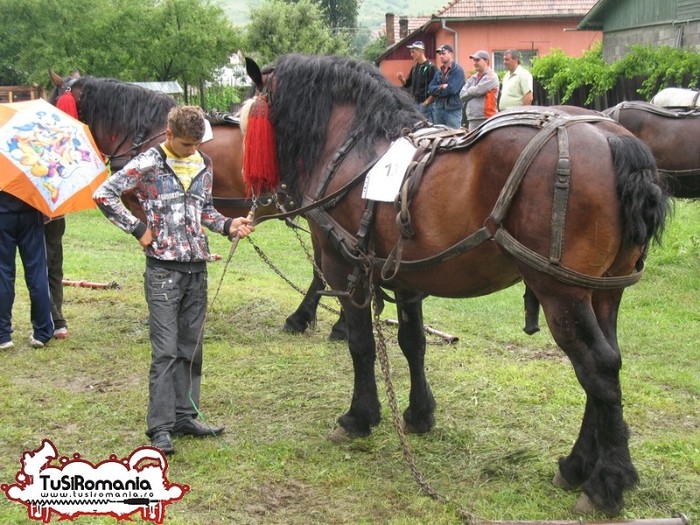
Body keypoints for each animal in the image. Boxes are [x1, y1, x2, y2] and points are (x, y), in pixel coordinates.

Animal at [245, 54, 668, 516]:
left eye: (253, 111)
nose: (261, 194)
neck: (354, 147)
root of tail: (611, 138)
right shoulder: (404, 276)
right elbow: (412, 343)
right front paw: (418, 414)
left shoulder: (344, 270)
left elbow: (361, 346)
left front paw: (359, 417)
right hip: (603, 291)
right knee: (606, 366)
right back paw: (578, 465)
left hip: (562, 294)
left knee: (598, 369)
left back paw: (606, 482)